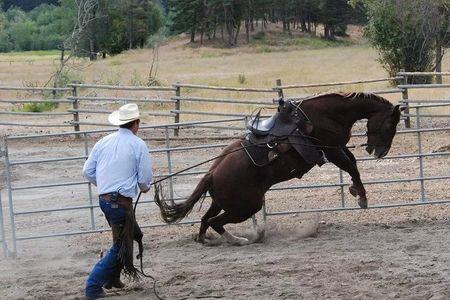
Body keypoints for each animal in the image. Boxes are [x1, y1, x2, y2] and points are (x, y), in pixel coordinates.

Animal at [154, 92, 400, 245]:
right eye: (390, 124)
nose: (380, 152)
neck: (324, 115)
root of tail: (212, 173)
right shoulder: (330, 149)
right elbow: (350, 166)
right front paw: (361, 197)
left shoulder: (336, 147)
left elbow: (352, 163)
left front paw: (355, 191)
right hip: (247, 206)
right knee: (215, 222)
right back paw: (241, 240)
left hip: (222, 202)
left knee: (206, 220)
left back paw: (206, 240)